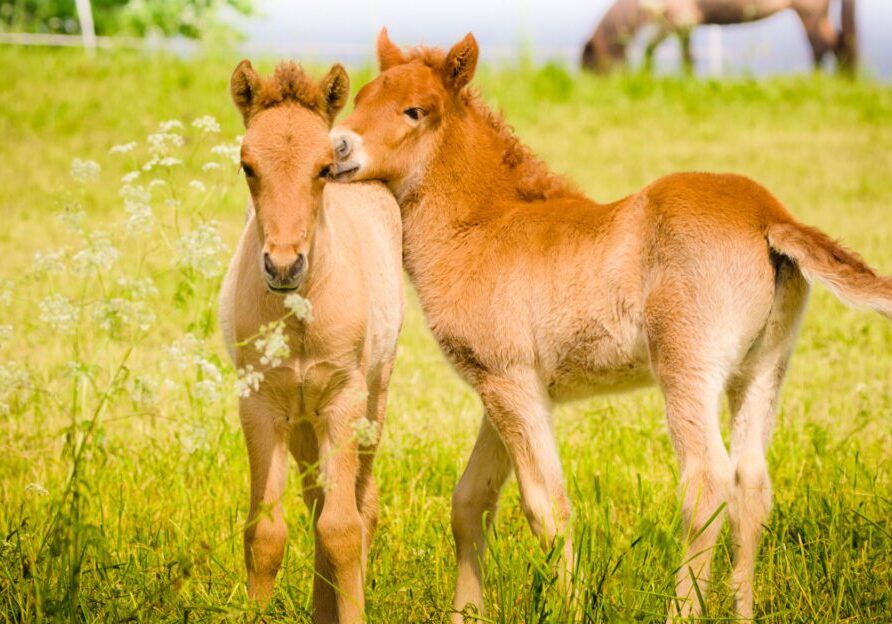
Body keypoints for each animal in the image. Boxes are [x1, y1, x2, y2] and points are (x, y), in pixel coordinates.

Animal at [218, 59, 403, 623]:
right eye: (247, 165)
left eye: (322, 167)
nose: (283, 265)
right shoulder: (259, 405)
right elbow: (265, 534)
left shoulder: (343, 401)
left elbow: (343, 529)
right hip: (301, 421)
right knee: (316, 498)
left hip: (371, 403)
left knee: (361, 504)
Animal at [328, 29, 891, 621]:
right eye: (360, 98)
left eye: (414, 111)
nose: (337, 146)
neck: (481, 228)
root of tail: (768, 215)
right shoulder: (503, 389)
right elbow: (470, 502)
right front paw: (466, 613)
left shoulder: (509, 381)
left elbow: (546, 507)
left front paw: (569, 609)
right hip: (762, 370)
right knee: (752, 486)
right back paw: (743, 611)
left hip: (687, 365)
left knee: (707, 482)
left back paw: (681, 610)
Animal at [581, 0, 857, 74]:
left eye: (591, 67)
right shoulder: (676, 23)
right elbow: (671, 54)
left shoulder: (680, 19)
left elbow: (669, 54)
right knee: (838, 42)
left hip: (809, 9)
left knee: (821, 45)